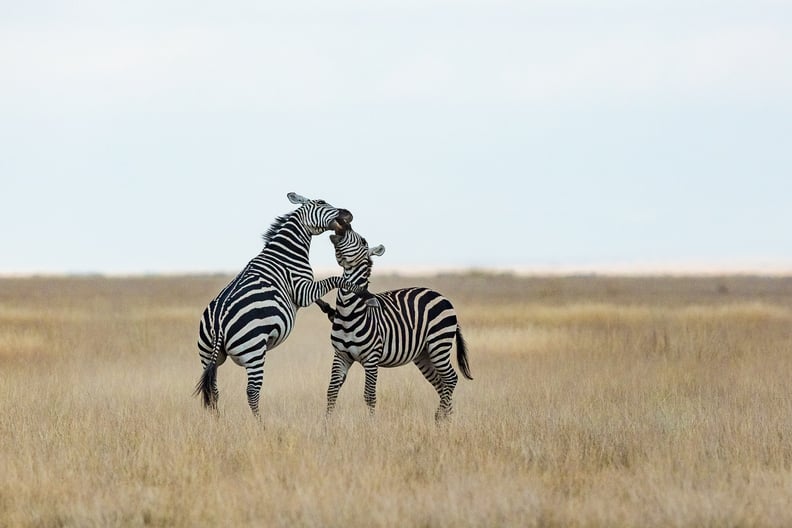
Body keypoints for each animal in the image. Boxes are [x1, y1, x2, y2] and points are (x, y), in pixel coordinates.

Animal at [193, 191, 376, 416]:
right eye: (322, 202)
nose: (349, 214)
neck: (286, 252)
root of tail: (218, 324)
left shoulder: (303, 291)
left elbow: (320, 297)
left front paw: (330, 311)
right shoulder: (303, 289)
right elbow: (334, 280)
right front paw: (363, 292)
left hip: (208, 356)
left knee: (214, 391)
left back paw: (218, 422)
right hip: (253, 352)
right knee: (252, 392)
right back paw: (260, 423)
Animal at [316, 227, 474, 420]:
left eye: (363, 240)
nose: (342, 228)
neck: (349, 313)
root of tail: (442, 297)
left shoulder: (372, 358)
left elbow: (369, 395)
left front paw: (371, 424)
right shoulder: (341, 355)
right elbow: (331, 391)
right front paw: (327, 424)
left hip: (439, 344)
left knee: (451, 378)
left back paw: (439, 417)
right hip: (424, 354)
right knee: (441, 383)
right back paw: (447, 420)